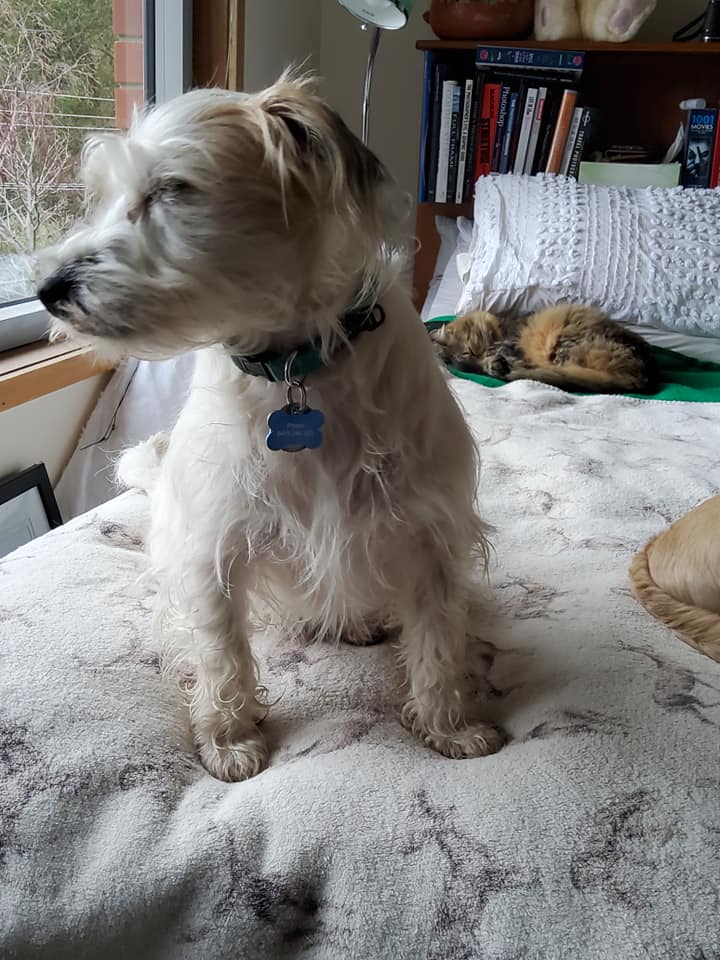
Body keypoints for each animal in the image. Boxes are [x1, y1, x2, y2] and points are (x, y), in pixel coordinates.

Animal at [36, 73, 504, 782]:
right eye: (105, 195)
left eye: (171, 189)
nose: (48, 290)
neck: (295, 367)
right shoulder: (215, 546)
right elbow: (222, 651)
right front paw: (228, 737)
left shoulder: (431, 540)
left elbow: (439, 641)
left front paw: (450, 724)